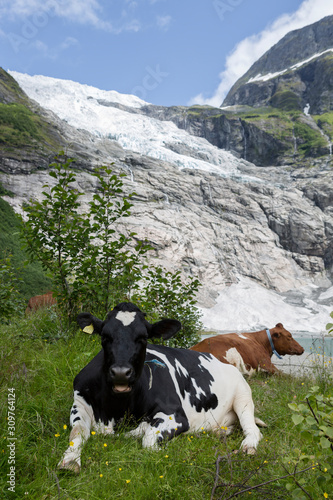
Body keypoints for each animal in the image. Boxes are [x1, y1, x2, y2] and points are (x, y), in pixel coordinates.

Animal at [57, 300, 264, 472]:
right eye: (105, 336)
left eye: (143, 337)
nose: (121, 372)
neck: (117, 410)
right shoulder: (79, 403)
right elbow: (77, 432)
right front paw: (70, 460)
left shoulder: (175, 414)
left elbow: (148, 440)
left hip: (243, 396)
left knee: (253, 429)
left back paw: (248, 446)